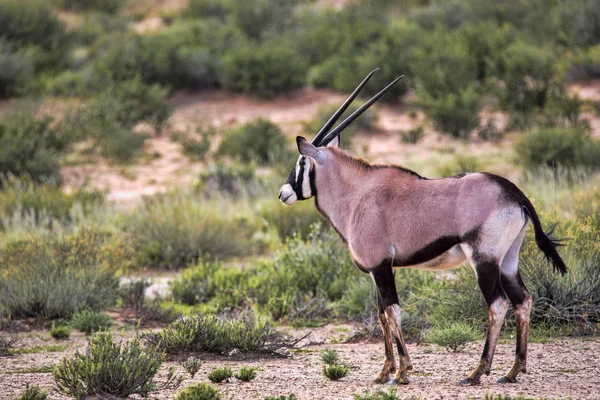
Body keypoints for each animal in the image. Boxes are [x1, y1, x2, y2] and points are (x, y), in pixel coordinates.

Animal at [278, 70, 568, 386]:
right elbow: (381, 316)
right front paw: (384, 372)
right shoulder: (381, 270)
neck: (356, 194)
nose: (283, 193)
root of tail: (515, 193)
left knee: (498, 304)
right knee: (522, 300)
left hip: (484, 260)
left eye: (301, 161)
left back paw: (477, 372)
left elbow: (393, 312)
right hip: (508, 260)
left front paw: (402, 372)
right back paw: (513, 370)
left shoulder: (380, 266)